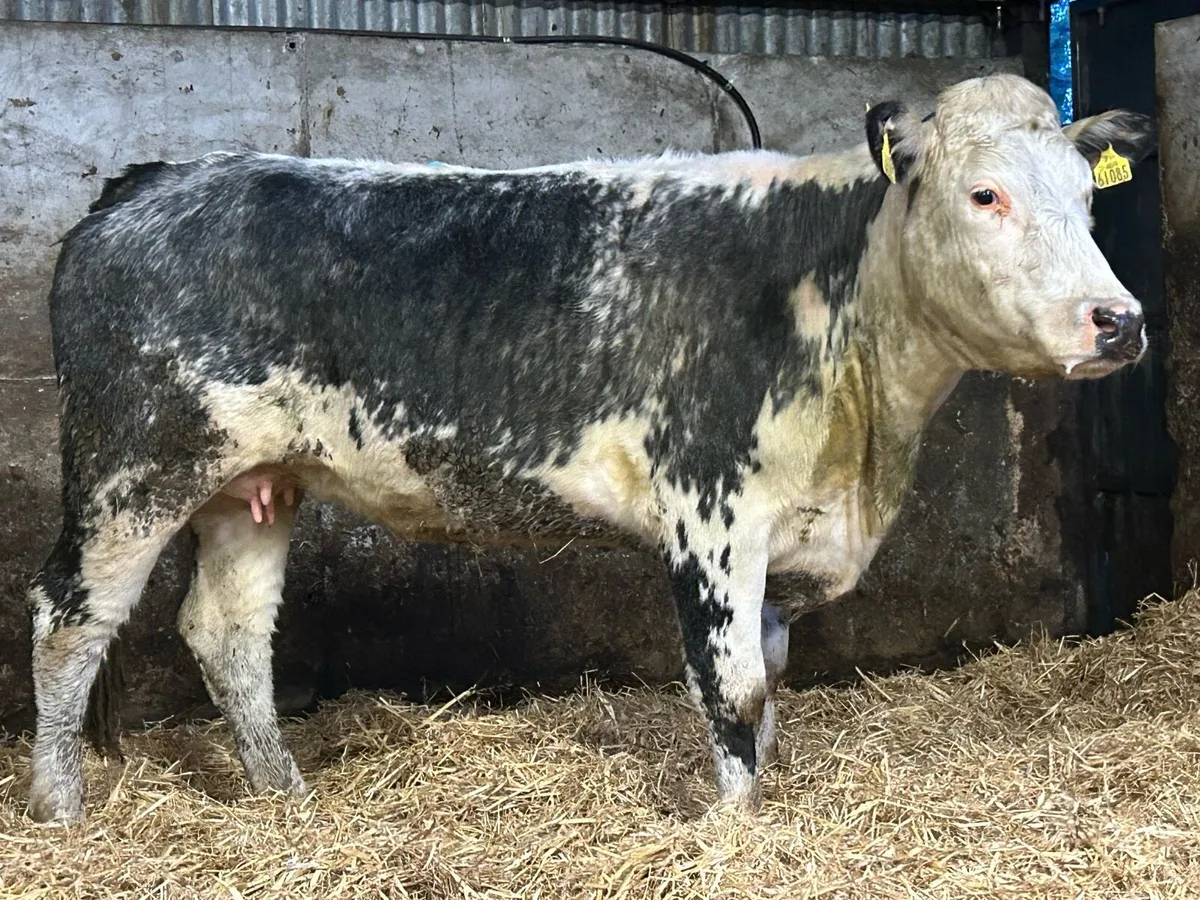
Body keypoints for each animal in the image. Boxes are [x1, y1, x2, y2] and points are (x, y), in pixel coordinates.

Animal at [23, 73, 1155, 823]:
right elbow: (733, 689)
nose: (1119, 321)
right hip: (133, 463)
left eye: (1087, 198)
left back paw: (288, 800)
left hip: (251, 480)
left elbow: (769, 689)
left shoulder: (787, 541)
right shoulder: (713, 514)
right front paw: (730, 835)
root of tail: (150, 182)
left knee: (226, 633)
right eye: (983, 195)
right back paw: (60, 808)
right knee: (68, 621)